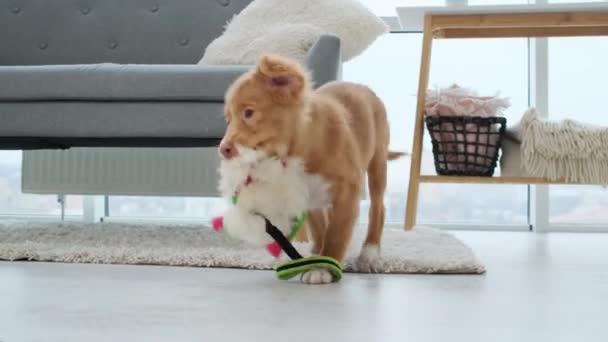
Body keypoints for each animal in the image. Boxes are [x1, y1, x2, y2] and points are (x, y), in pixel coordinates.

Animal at [221, 53, 402, 284]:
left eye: (248, 113)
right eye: (228, 118)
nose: (223, 149)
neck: (304, 150)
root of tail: (362, 87)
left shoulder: (347, 191)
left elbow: (336, 233)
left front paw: (324, 266)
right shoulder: (307, 194)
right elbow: (319, 228)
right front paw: (315, 257)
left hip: (378, 163)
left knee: (378, 208)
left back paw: (369, 254)